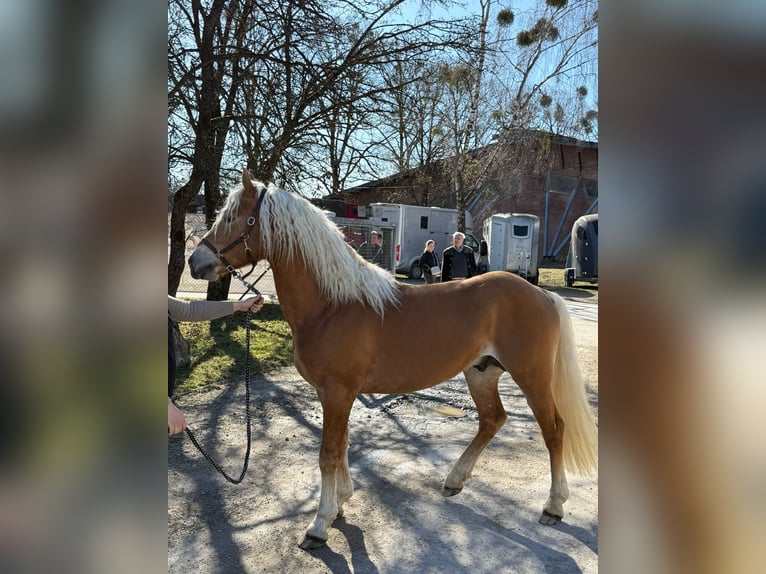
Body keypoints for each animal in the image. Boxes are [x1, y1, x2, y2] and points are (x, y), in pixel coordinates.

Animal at [188, 169, 597, 550]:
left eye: (232, 217)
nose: (195, 262)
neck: (333, 305)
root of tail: (541, 294)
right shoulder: (334, 394)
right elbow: (343, 445)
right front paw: (341, 503)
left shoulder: (338, 391)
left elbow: (328, 454)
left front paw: (320, 524)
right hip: (481, 373)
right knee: (492, 420)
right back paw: (454, 481)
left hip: (533, 376)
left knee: (554, 429)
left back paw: (553, 506)